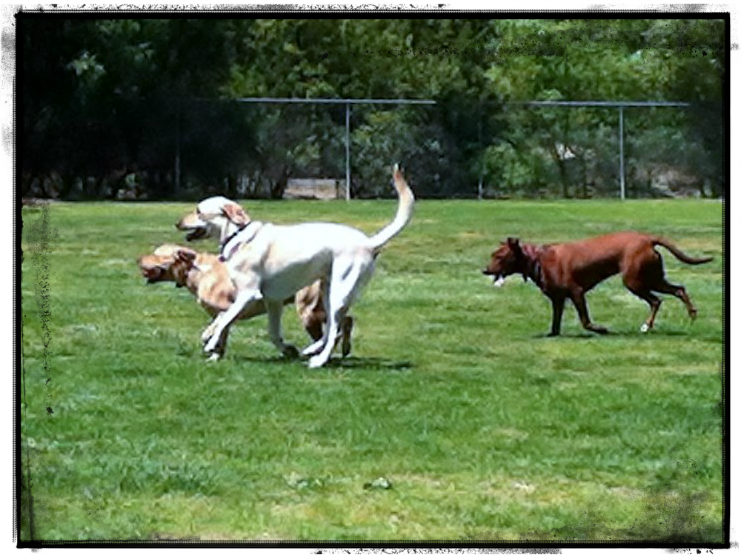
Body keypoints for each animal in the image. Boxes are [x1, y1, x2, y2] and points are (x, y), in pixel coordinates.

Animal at [139, 244, 352, 360]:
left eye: (157, 253)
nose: (138, 260)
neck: (196, 271)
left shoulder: (227, 310)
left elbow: (212, 331)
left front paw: (209, 342)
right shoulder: (219, 314)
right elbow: (221, 335)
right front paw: (216, 356)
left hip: (308, 311)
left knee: (332, 331)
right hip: (318, 309)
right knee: (346, 321)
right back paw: (342, 348)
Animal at [482, 230, 712, 334]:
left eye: (499, 256)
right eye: (493, 254)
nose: (485, 270)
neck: (538, 259)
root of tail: (647, 239)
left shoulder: (577, 292)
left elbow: (585, 321)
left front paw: (600, 329)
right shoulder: (558, 300)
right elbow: (555, 325)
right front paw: (551, 335)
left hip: (634, 281)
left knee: (656, 301)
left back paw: (647, 325)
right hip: (652, 277)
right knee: (679, 290)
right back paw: (691, 313)